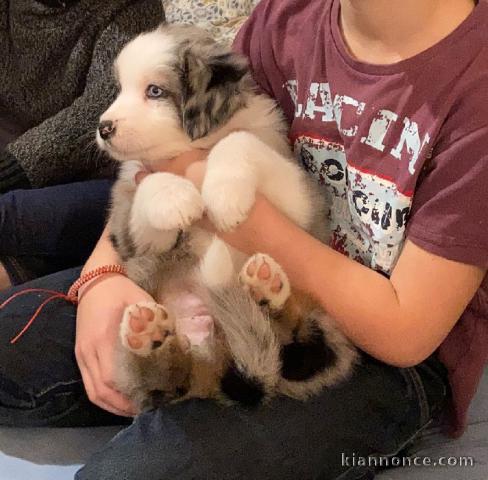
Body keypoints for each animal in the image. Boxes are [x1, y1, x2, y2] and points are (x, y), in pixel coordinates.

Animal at [96, 24, 354, 410]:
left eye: (154, 91)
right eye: (121, 88)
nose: (104, 128)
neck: (194, 148)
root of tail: (214, 362)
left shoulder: (301, 199)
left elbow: (239, 141)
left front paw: (223, 196)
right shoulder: (133, 237)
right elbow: (149, 186)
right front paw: (178, 198)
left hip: (324, 338)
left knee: (292, 340)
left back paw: (264, 290)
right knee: (164, 382)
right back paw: (150, 335)